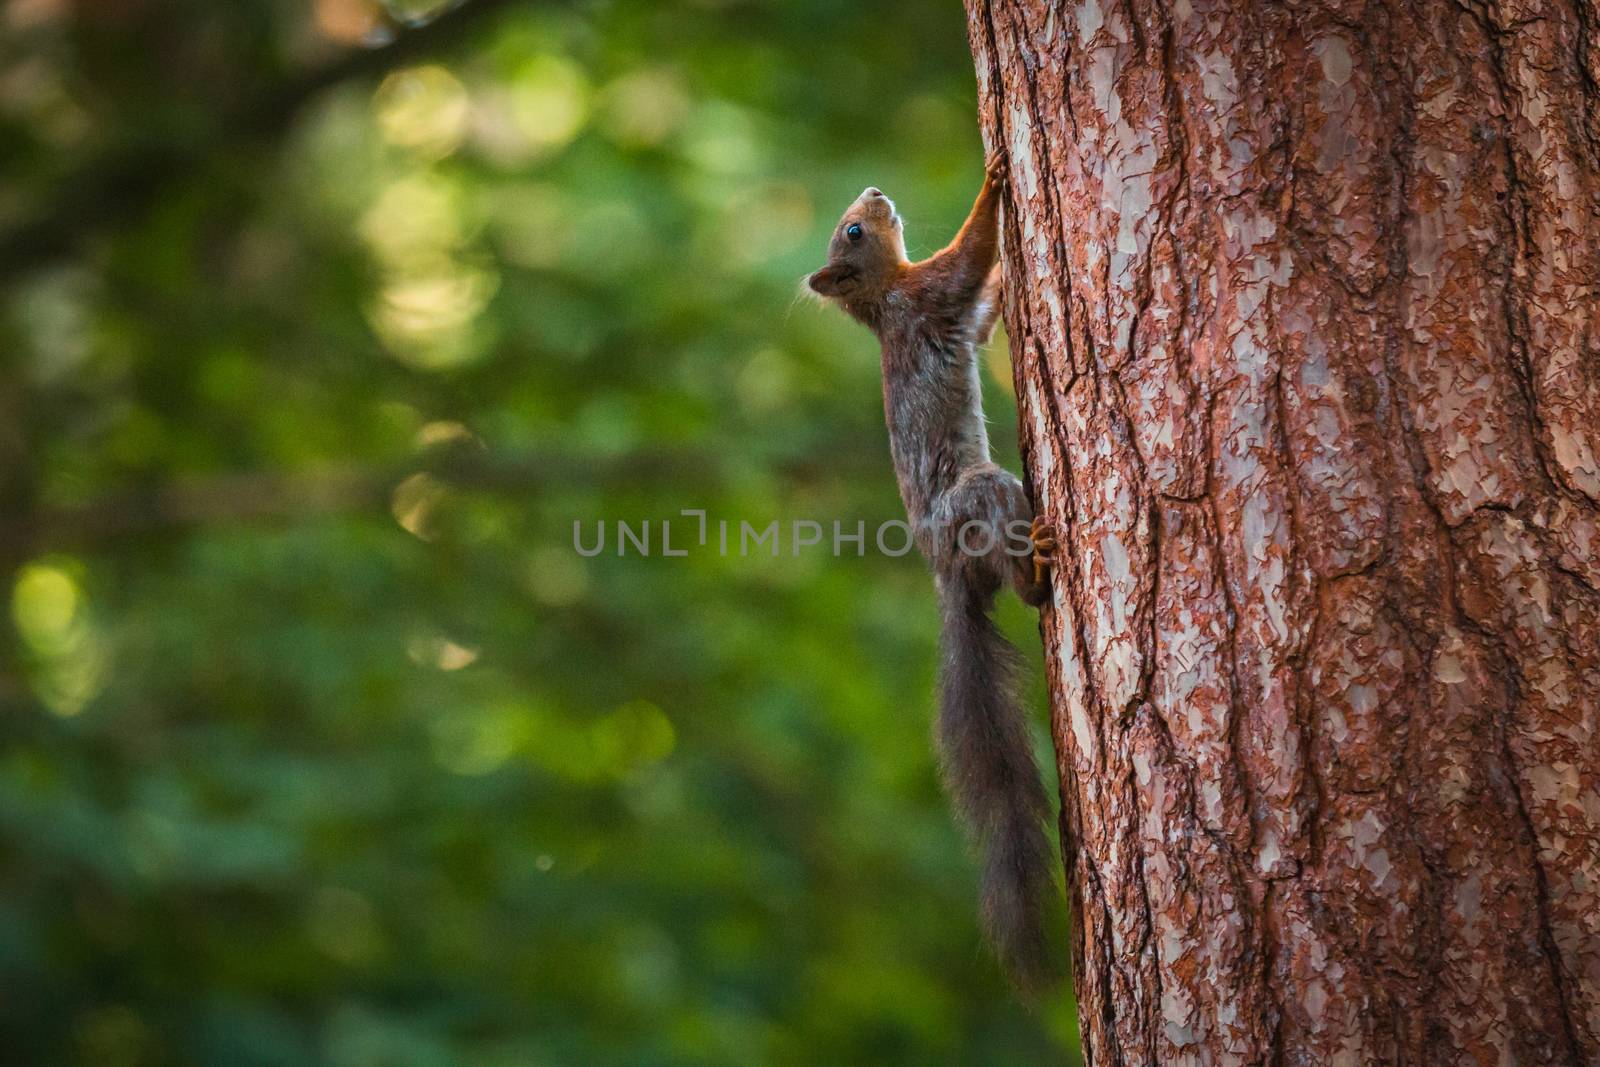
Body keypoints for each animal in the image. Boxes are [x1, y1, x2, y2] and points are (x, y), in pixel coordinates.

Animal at [812, 156, 1062, 991]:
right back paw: (1036, 568)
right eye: (854, 230)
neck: (882, 296)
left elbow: (981, 312)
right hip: (984, 495)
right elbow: (967, 256)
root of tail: (950, 571)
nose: (873, 191)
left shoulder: (942, 306)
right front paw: (995, 179)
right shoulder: (930, 292)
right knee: (1017, 566)